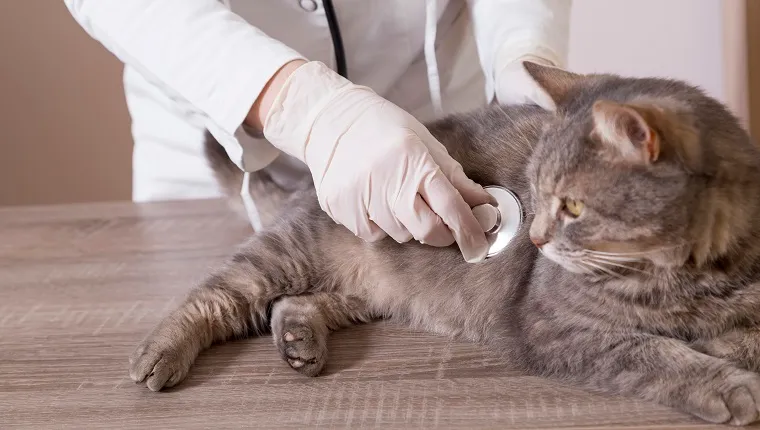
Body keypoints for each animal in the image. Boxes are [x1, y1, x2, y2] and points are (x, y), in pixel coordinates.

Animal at [127, 61, 760, 426]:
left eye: (573, 206)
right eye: (537, 191)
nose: (534, 235)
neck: (689, 279)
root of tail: (314, 177)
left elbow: (737, 338)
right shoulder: (553, 326)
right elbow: (656, 354)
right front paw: (729, 387)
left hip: (368, 291)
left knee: (298, 303)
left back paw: (299, 341)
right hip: (285, 254)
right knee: (214, 295)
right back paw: (158, 355)